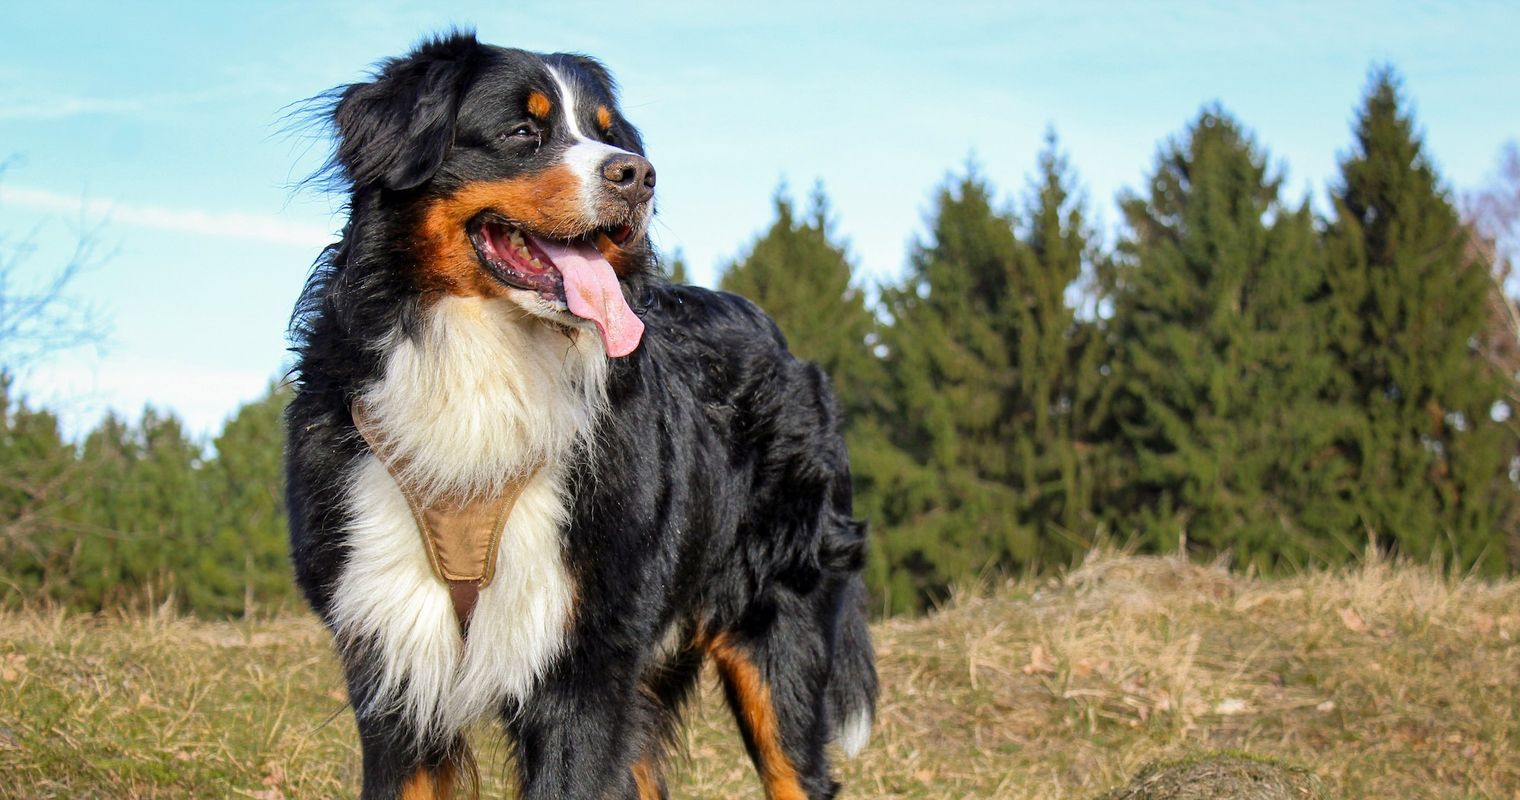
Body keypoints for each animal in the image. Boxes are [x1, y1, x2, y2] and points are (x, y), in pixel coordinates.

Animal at [287, 28, 881, 796]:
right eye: (521, 131)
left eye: (608, 135)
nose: (640, 175)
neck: (486, 367)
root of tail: (789, 348)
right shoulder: (393, 662)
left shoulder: (585, 665)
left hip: (778, 636)